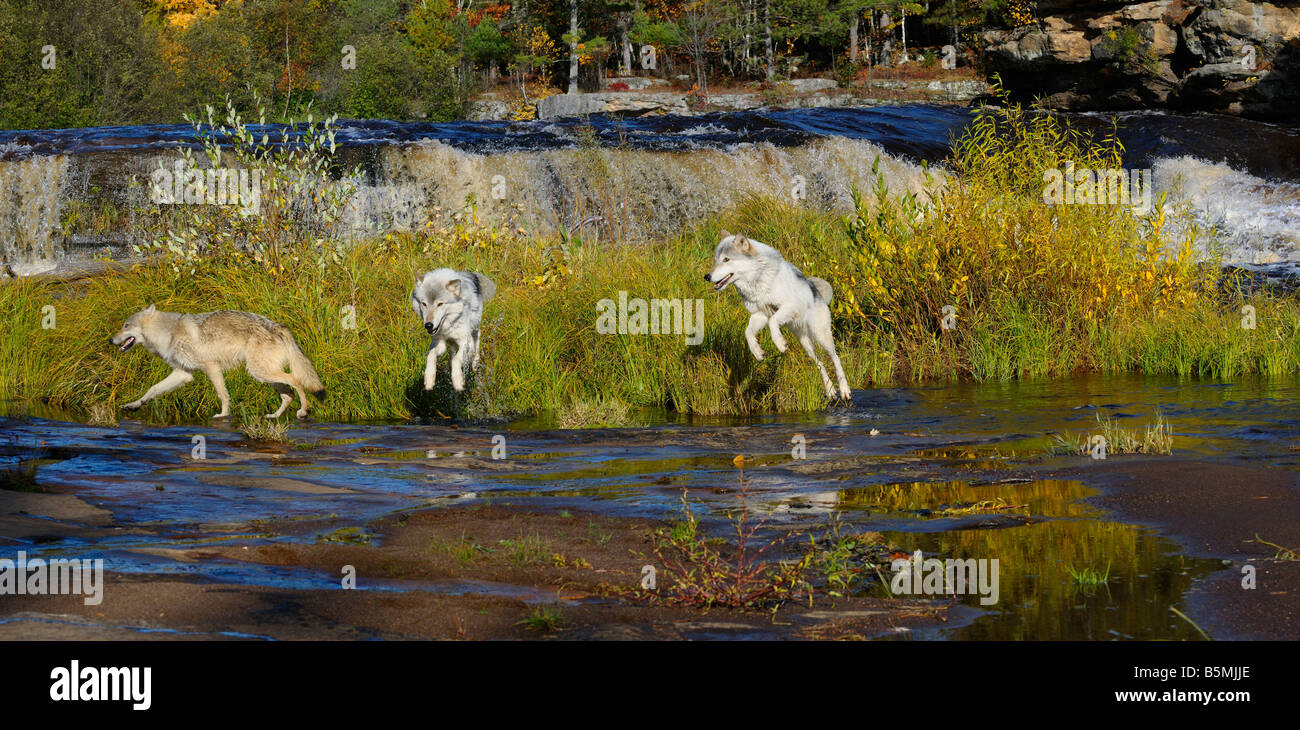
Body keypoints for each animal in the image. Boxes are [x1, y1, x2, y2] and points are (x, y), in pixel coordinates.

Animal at [110, 303, 325, 418]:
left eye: (126, 325)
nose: (110, 340)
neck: (167, 333)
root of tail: (278, 326)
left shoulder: (211, 367)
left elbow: (223, 394)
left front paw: (223, 415)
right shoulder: (183, 374)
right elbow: (152, 389)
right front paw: (133, 405)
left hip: (260, 372)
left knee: (297, 381)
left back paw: (303, 411)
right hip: (264, 376)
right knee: (288, 394)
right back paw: (274, 416)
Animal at [702, 229, 852, 397]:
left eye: (726, 259)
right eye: (716, 260)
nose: (707, 276)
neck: (758, 280)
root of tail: (816, 290)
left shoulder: (789, 307)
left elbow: (773, 322)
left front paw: (780, 344)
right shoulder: (759, 314)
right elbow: (748, 332)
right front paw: (757, 352)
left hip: (820, 336)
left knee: (836, 358)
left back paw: (844, 390)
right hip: (805, 344)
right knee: (819, 363)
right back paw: (830, 390)